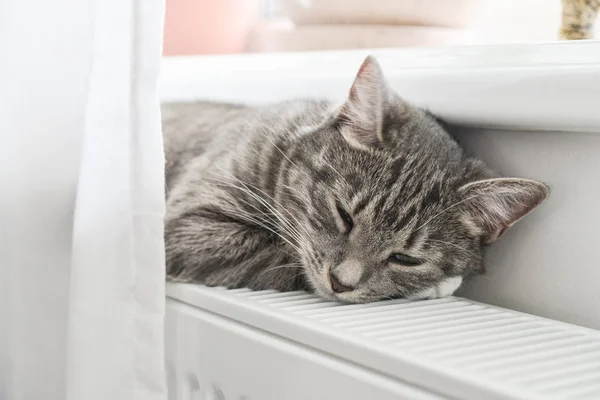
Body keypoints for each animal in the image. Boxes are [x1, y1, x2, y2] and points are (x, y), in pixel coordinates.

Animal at [161, 54, 548, 302]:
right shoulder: (186, 226)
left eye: (405, 259)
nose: (340, 283)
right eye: (343, 215)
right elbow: (281, 252)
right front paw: (438, 286)